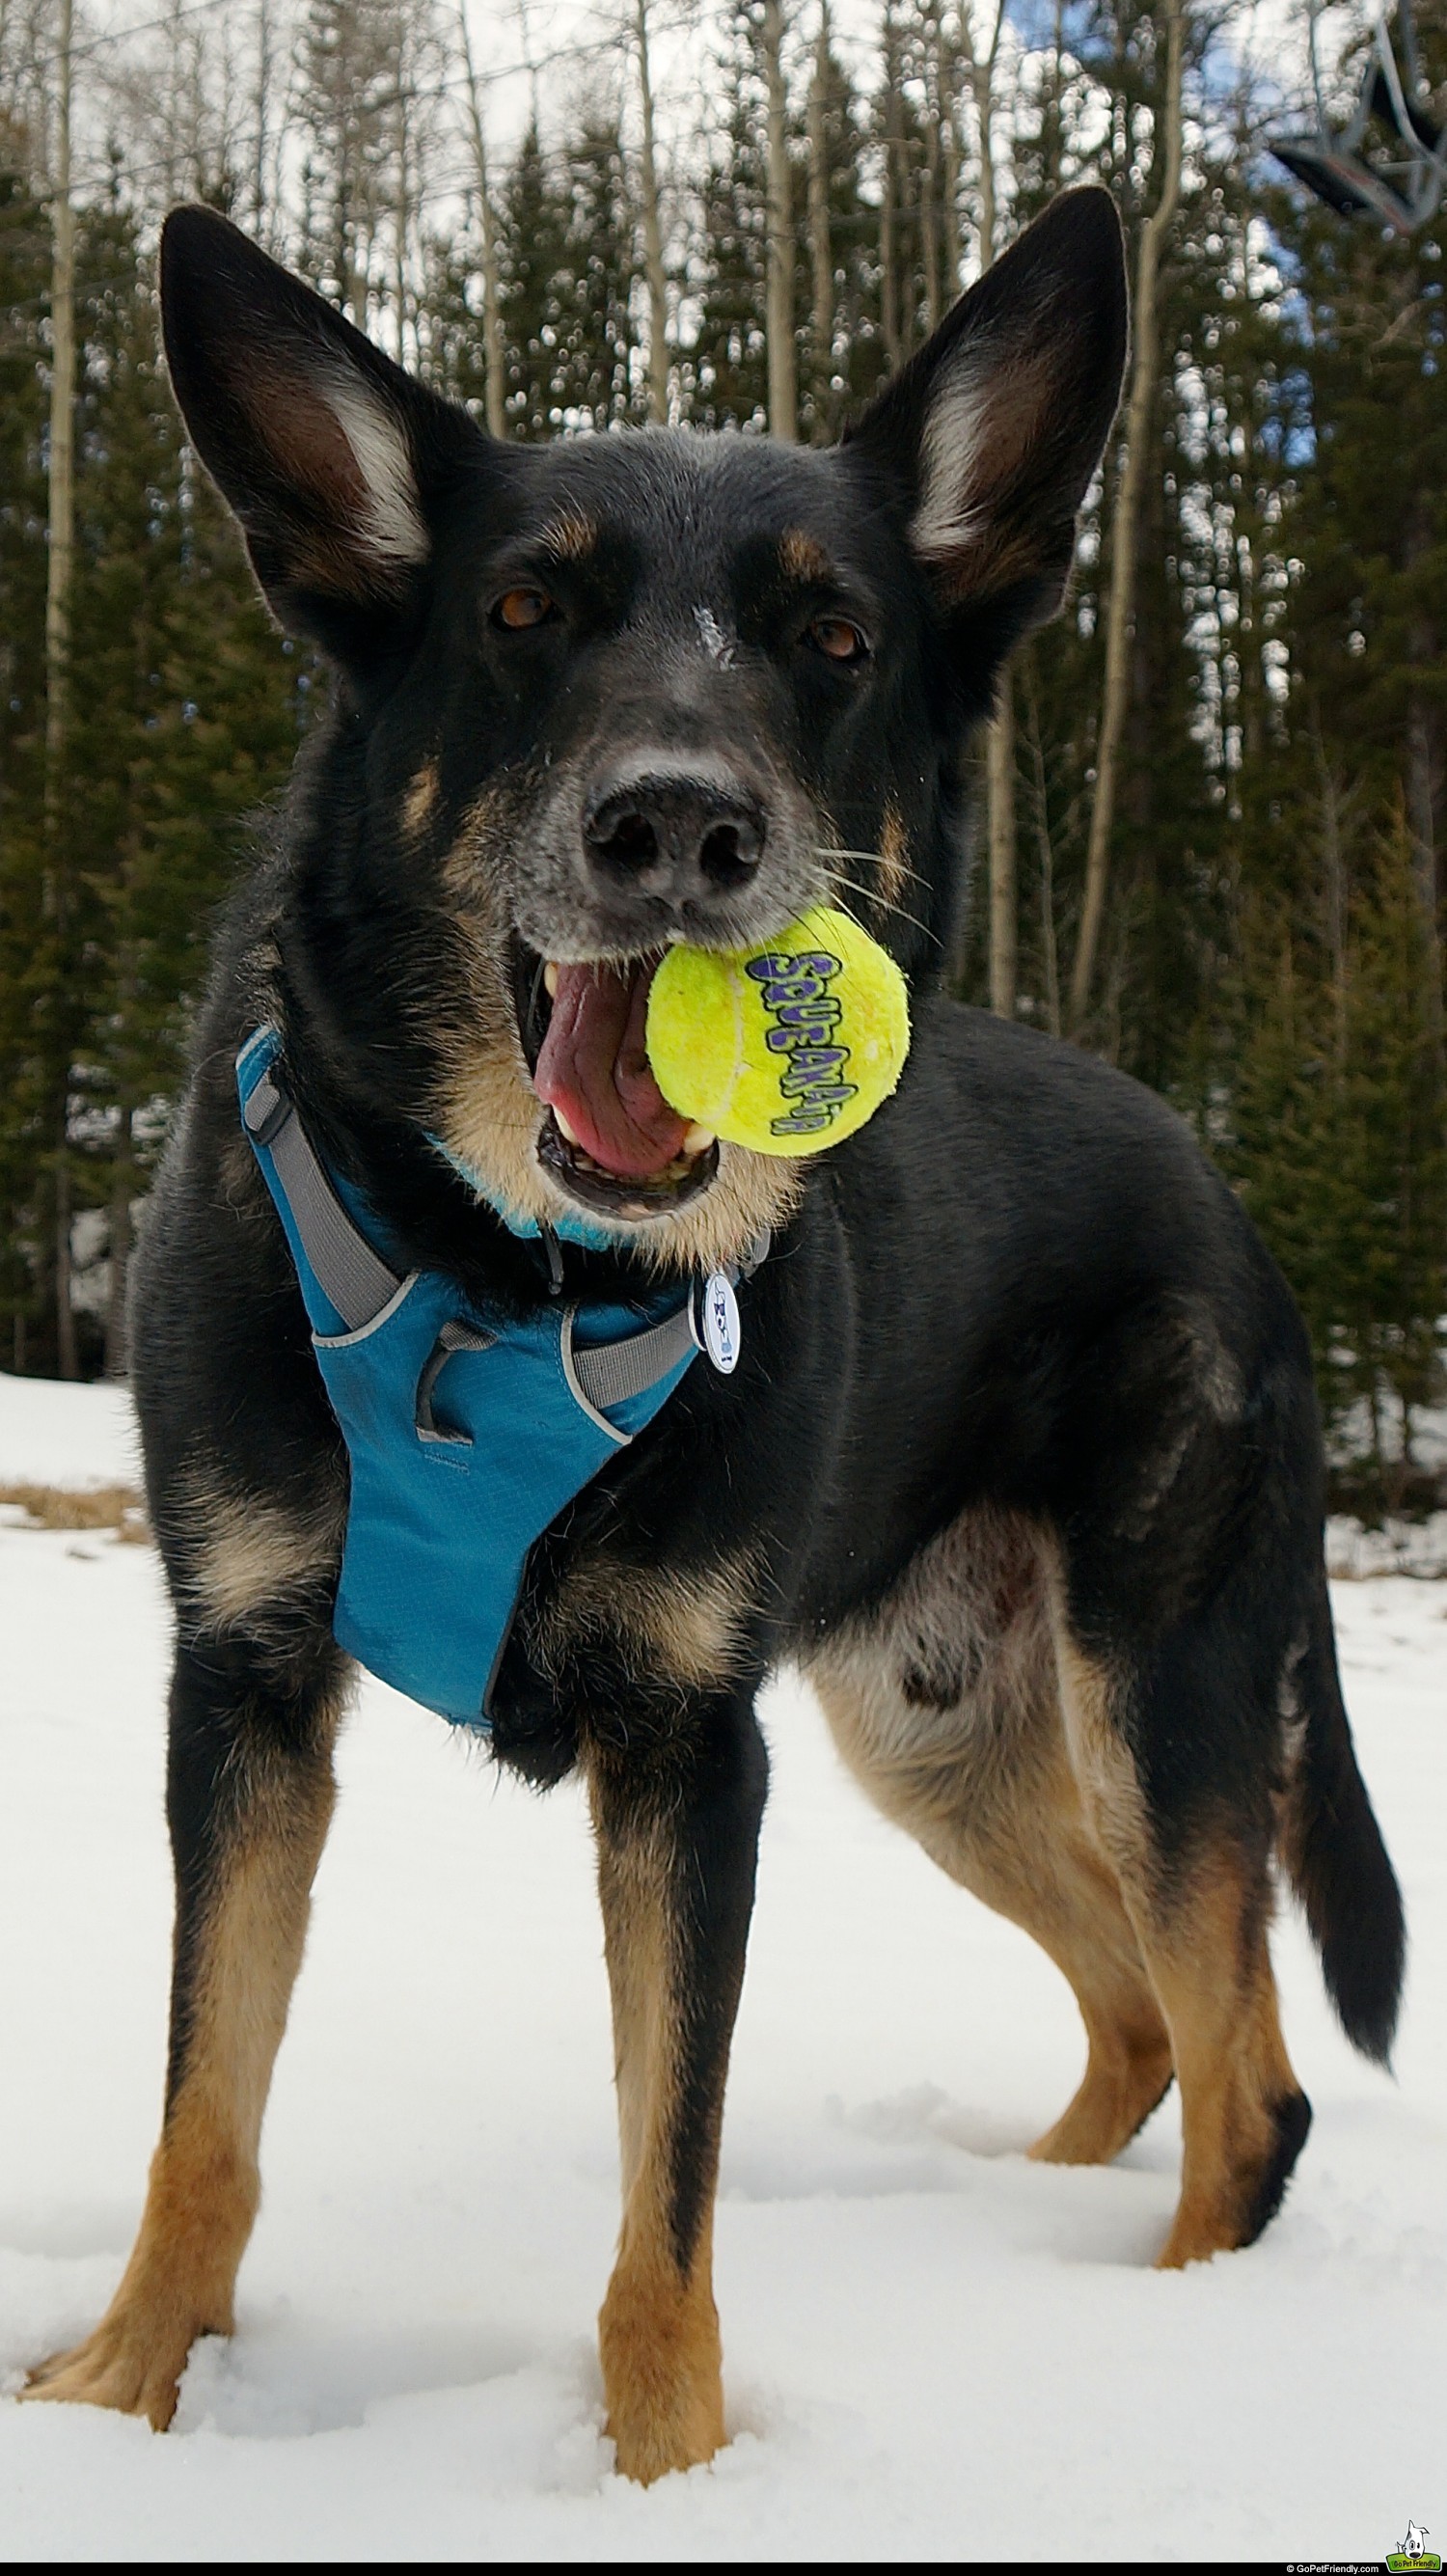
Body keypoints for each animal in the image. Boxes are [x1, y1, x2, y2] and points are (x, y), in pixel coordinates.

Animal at [22, 190, 1400, 2482]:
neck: (499, 1283)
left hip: (1158, 1689)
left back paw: (1150, 2347)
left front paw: (668, 2475)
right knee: (1142, 2015)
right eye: (521, 609)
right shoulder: (248, 1684)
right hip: (940, 1734)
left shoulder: (691, 1751)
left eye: (831, 639)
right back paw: (1006, 2224)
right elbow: (205, 2112)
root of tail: (1225, 1200)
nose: (677, 827)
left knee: (1252, 2074)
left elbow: (666, 2181)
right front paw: (128, 2395)